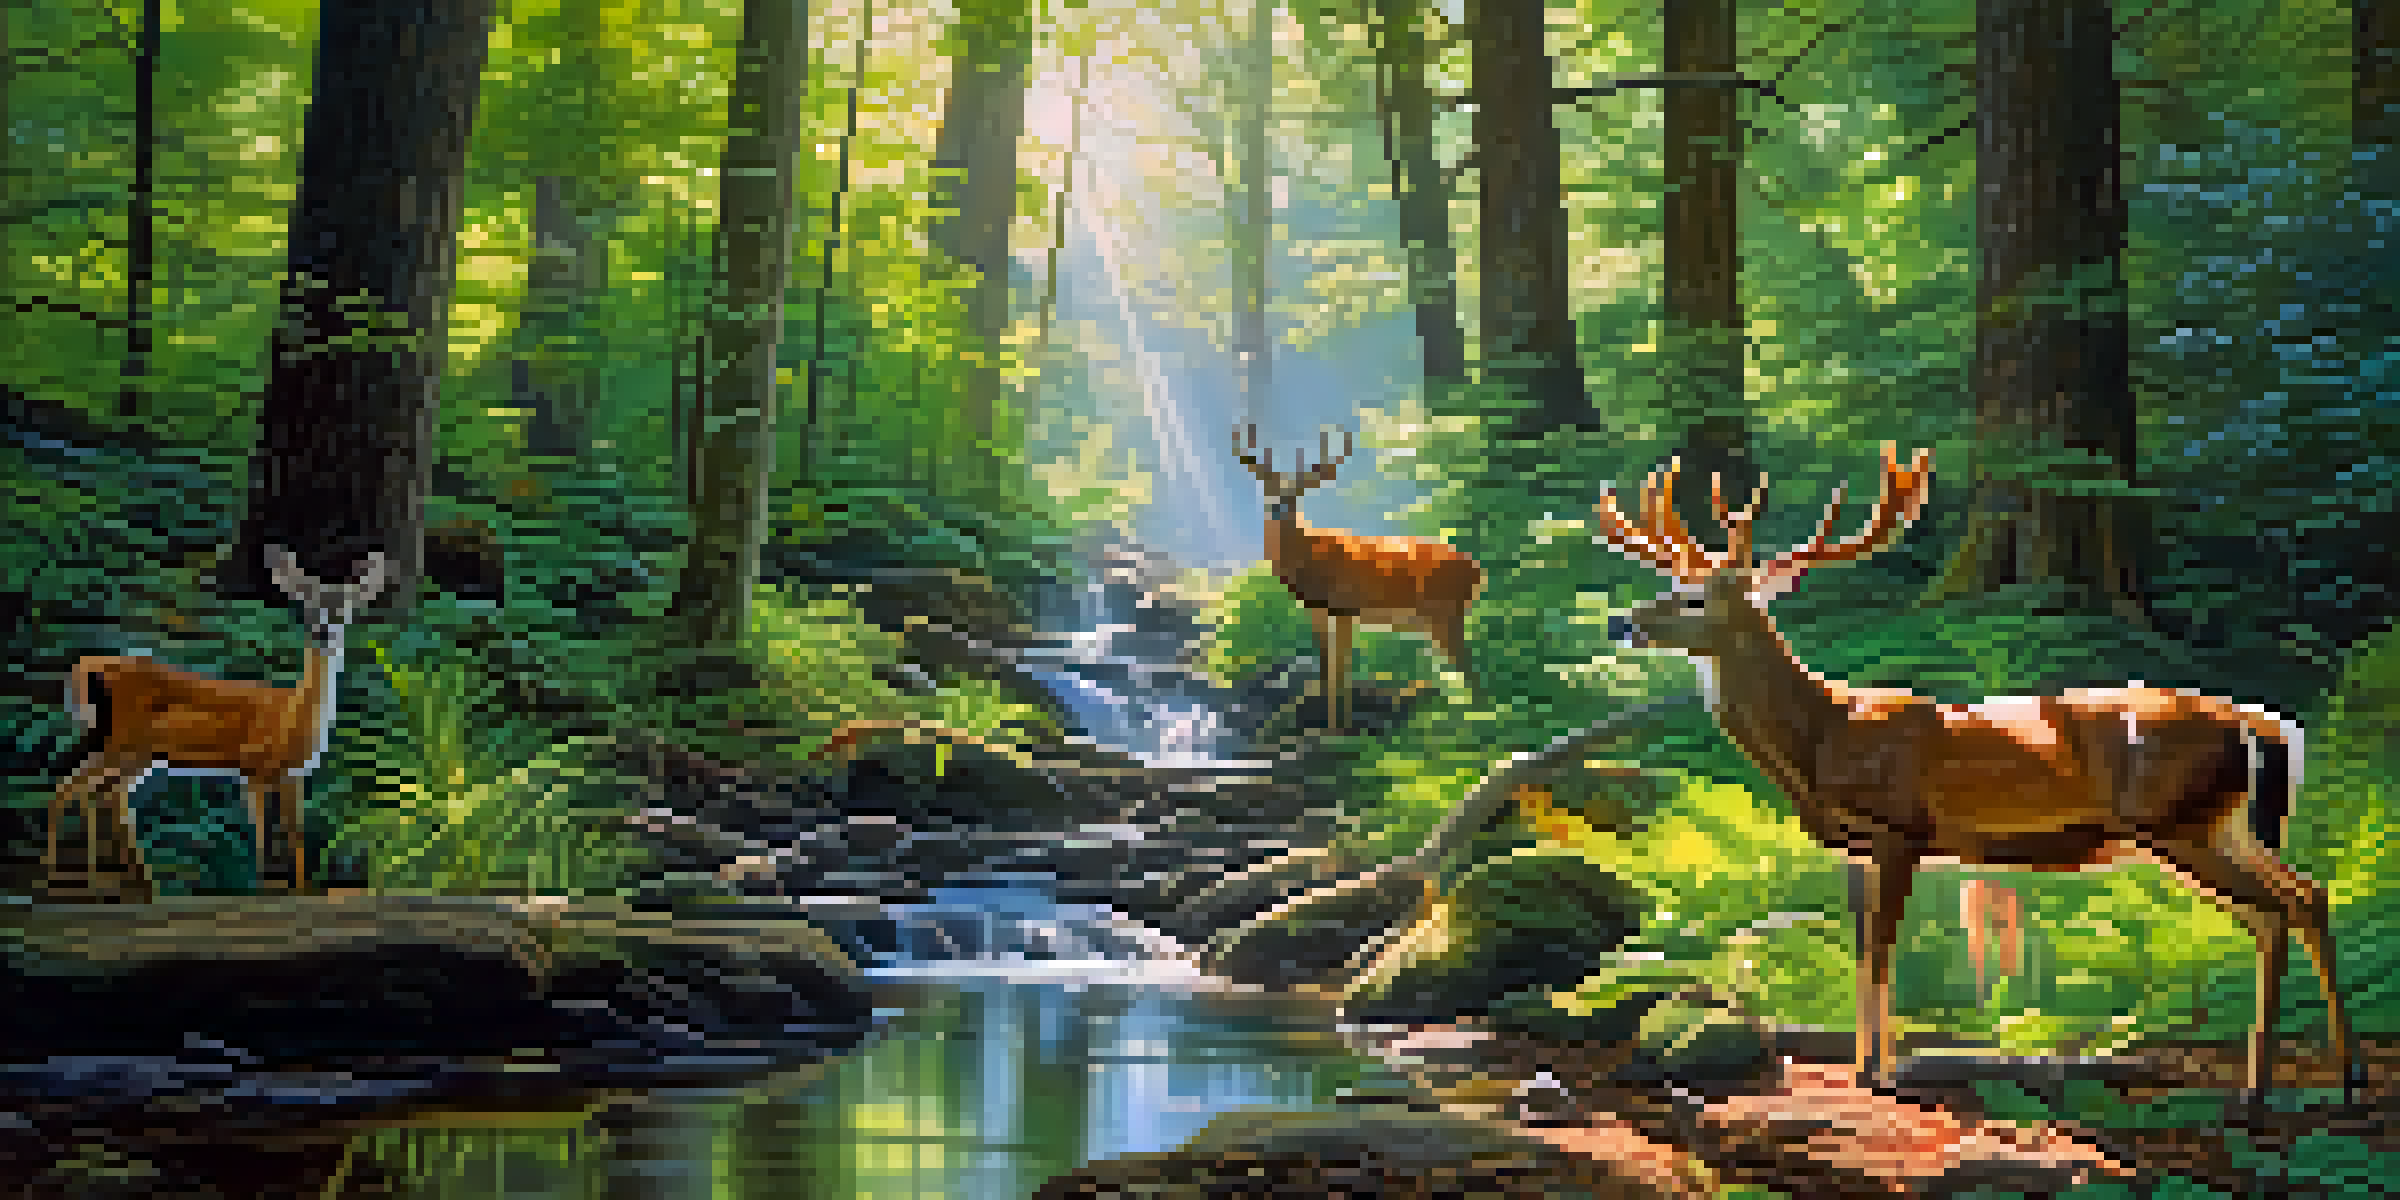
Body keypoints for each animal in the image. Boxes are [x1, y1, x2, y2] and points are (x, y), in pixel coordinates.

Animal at [47, 546, 389, 899]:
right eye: (305, 606)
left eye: (343, 610)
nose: (323, 632)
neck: (292, 717)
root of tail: (86, 667)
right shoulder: (253, 766)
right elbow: (263, 838)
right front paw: (264, 890)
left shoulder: (293, 775)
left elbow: (296, 837)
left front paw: (302, 892)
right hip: (120, 740)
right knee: (70, 788)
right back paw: (62, 881)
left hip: (136, 754)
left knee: (103, 796)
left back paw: (138, 888)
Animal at [1234, 425, 1483, 734]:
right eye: (1268, 491)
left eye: (1295, 497)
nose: (1278, 508)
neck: (1310, 560)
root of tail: (1477, 570)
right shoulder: (1318, 610)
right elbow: (1327, 670)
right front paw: (1334, 727)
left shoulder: (1345, 606)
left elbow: (1340, 672)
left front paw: (1339, 731)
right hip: (1439, 621)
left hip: (1445, 613)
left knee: (1471, 669)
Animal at [1592, 443, 2355, 1108]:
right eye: (1669, 583)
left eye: (1697, 597)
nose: (1622, 622)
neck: (1823, 740)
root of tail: (2263, 725)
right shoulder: (1854, 848)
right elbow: (1862, 949)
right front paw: (1866, 1067)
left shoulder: (1901, 828)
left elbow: (1882, 951)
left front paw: (1878, 1074)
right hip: (2223, 826)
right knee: (2300, 899)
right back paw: (2308, 1084)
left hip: (2178, 823)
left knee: (2284, 907)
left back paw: (2282, 1092)